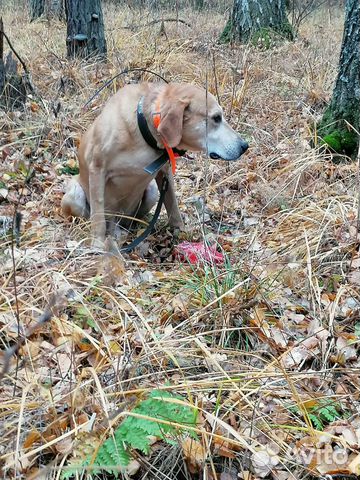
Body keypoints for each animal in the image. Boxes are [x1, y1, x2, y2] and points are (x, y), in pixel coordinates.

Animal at [60, 82, 249, 246]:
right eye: (216, 118)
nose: (245, 146)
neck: (144, 131)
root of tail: (117, 220)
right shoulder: (97, 168)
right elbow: (98, 213)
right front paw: (97, 244)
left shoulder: (164, 173)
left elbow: (173, 207)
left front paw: (180, 233)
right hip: (75, 194)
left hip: (151, 192)